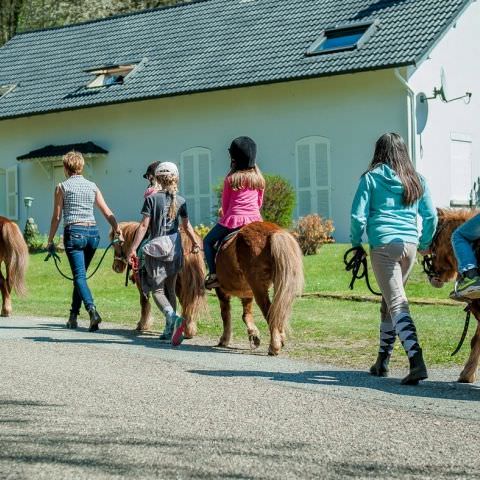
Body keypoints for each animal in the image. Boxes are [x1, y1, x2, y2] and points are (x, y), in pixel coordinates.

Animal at [213, 222, 302, 356]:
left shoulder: (222, 291)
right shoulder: (247, 292)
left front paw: (225, 339)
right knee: (277, 310)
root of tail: (273, 232)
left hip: (258, 287)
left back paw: (274, 347)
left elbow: (225, 314)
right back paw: (279, 339)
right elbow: (246, 314)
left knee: (270, 312)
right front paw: (254, 335)